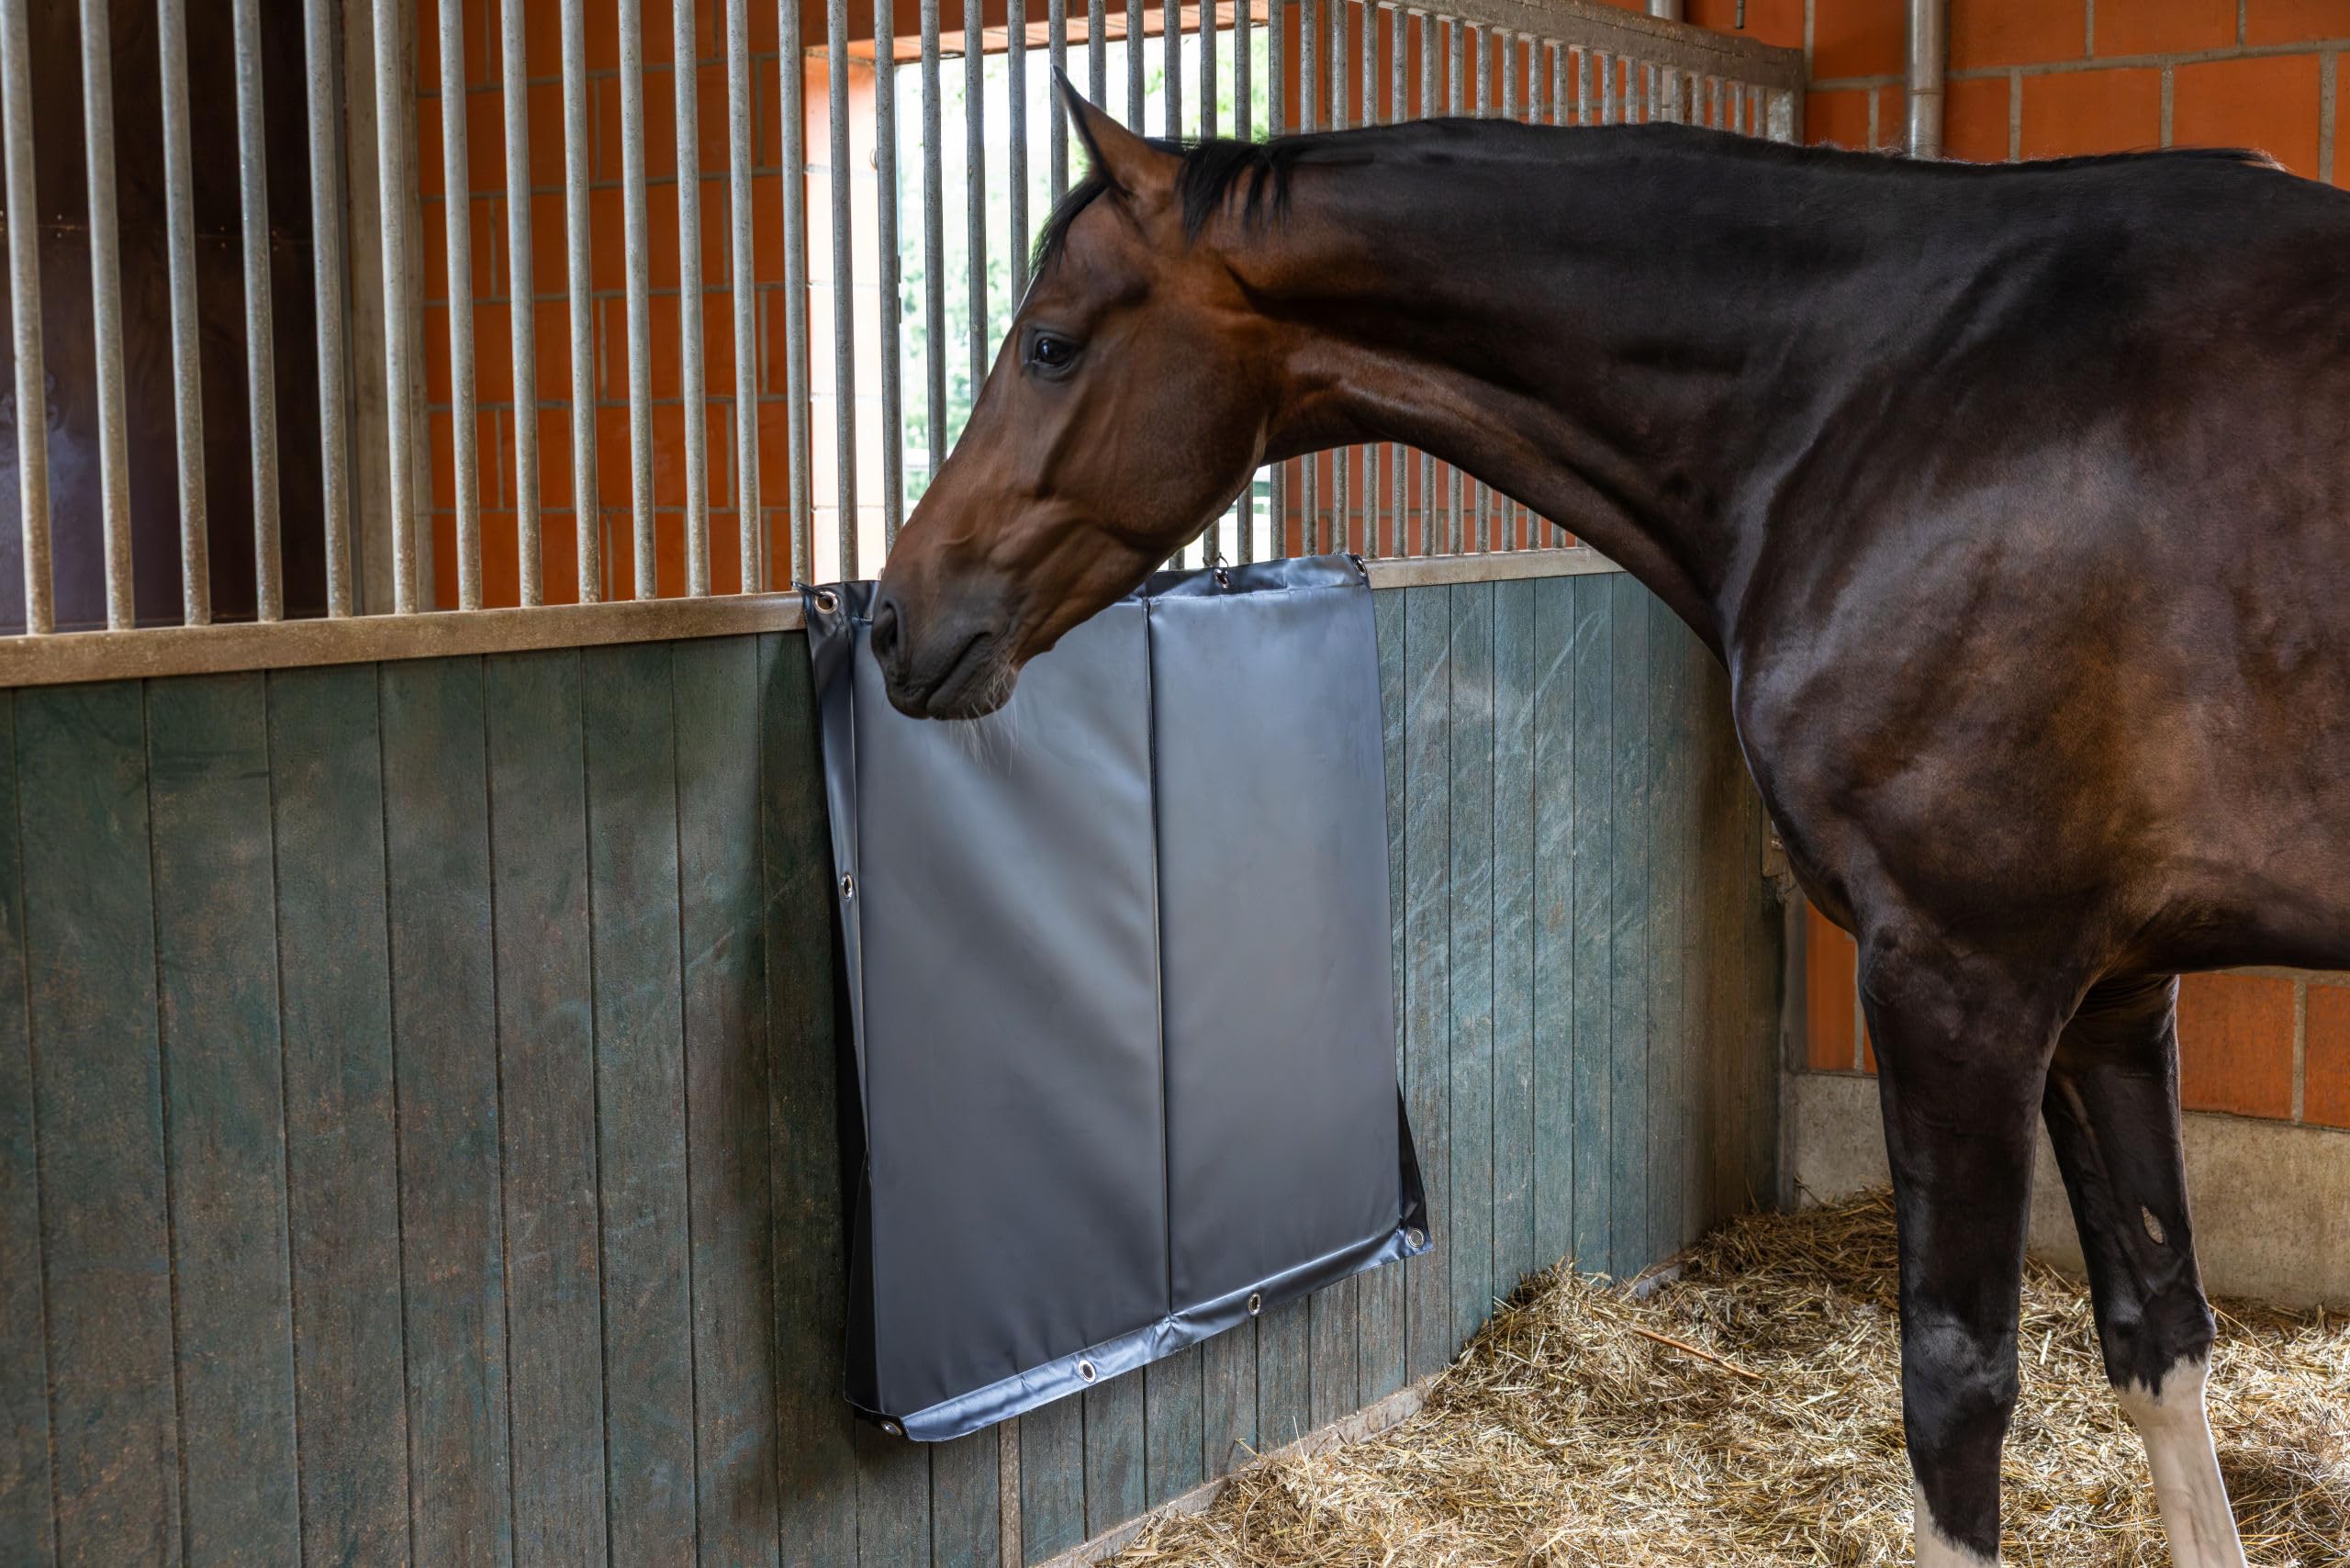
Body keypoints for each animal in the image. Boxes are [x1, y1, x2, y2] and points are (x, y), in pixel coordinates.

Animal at [867, 82, 2350, 1567]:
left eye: (1050, 344)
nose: (891, 617)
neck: (1893, 399)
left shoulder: (1962, 979)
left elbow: (1956, 1387)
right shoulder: (2111, 993)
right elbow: (2157, 1337)